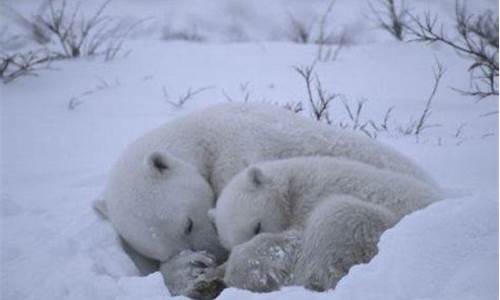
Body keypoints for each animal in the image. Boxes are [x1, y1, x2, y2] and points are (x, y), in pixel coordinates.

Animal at [96, 102, 434, 296]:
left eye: (188, 224)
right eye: (164, 251)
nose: (213, 254)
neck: (203, 136)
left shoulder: (242, 153)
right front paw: (189, 271)